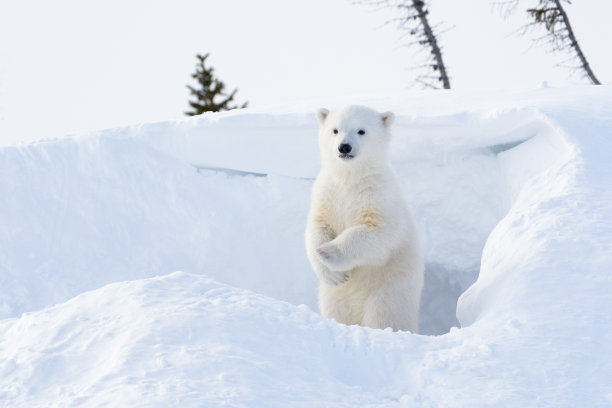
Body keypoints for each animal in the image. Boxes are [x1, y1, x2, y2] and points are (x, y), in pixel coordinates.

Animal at [304, 104, 424, 332]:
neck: (350, 179)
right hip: (333, 298)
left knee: (384, 317)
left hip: (389, 291)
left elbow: (378, 233)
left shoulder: (379, 197)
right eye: (335, 130)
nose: (344, 147)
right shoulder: (327, 193)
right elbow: (317, 226)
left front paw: (328, 252)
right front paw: (332, 272)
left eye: (361, 131)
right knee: (337, 311)